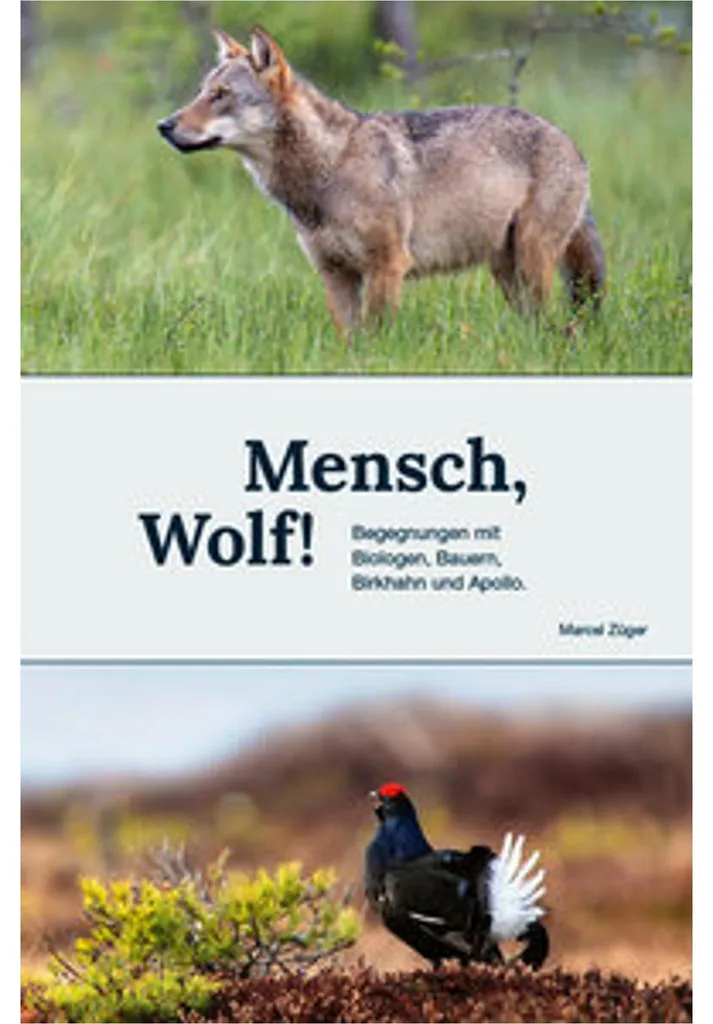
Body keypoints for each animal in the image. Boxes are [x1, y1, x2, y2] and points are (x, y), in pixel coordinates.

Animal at [158, 27, 605, 339]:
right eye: (201, 92)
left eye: (221, 95)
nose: (164, 126)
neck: (329, 168)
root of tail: (571, 141)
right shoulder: (335, 275)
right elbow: (350, 342)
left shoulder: (387, 266)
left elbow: (376, 338)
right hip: (507, 271)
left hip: (532, 260)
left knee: (553, 325)